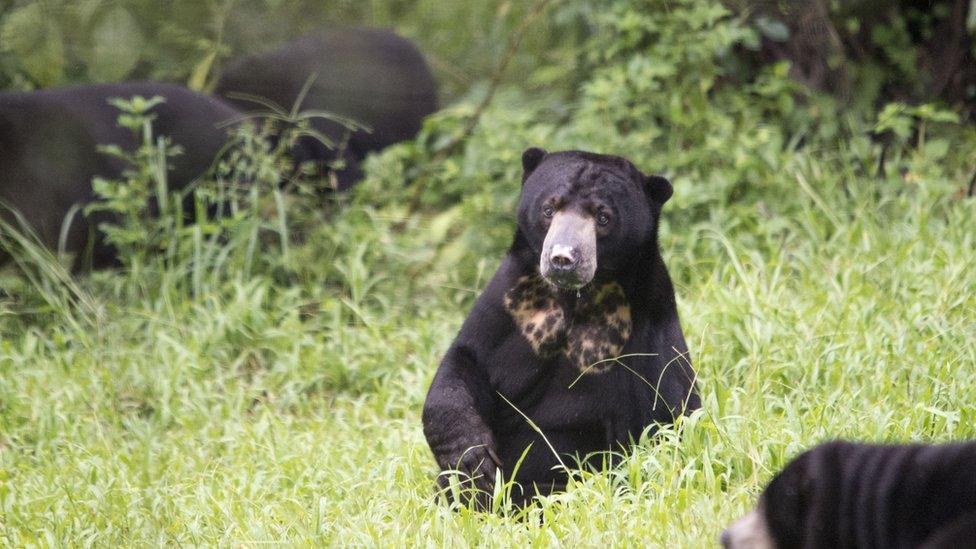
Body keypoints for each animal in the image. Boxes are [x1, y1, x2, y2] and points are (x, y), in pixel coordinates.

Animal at [420, 147, 700, 506]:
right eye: (549, 208)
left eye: (603, 217)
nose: (563, 259)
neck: (574, 298)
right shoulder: (511, 301)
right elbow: (467, 361)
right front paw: (470, 458)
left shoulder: (648, 325)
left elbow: (666, 409)